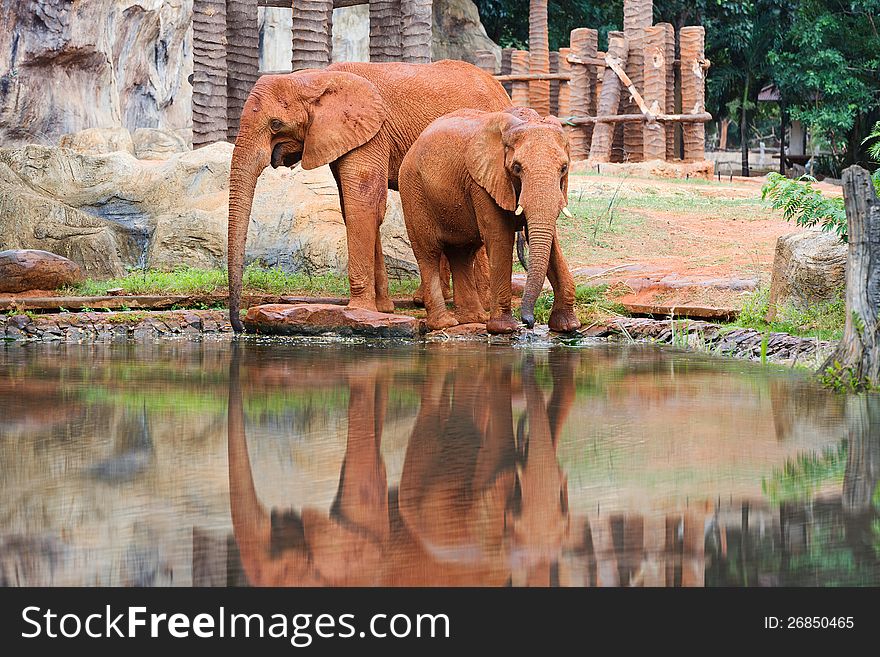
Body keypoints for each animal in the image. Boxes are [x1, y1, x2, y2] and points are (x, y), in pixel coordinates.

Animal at [229, 59, 508, 330]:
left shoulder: (372, 133)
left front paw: (359, 309)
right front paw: (382, 309)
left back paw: (482, 305)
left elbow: (362, 205)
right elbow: (357, 208)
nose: (239, 326)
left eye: (275, 124)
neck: (316, 77)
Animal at [398, 108, 576, 336]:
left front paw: (568, 326)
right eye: (517, 168)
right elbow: (499, 237)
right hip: (413, 189)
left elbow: (551, 242)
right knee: (428, 252)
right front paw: (505, 328)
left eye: (564, 168)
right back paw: (445, 324)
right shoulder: (481, 182)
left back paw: (474, 318)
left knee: (462, 253)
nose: (528, 321)